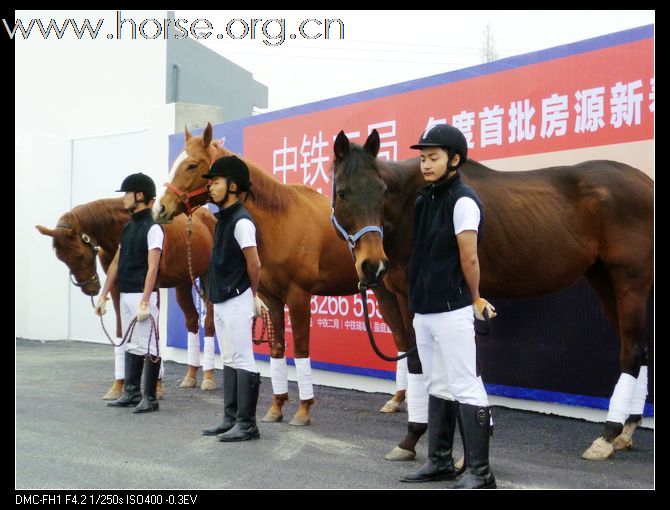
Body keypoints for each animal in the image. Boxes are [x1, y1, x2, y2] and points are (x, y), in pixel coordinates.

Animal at [36, 197, 218, 396]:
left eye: (79, 255)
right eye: (62, 259)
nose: (91, 289)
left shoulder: (153, 286)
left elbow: (154, 332)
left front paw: (157, 386)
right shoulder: (116, 288)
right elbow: (120, 331)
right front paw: (118, 385)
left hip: (207, 278)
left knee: (209, 322)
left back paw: (208, 377)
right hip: (183, 283)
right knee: (192, 320)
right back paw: (191, 375)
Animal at [152, 122, 428, 458]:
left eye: (192, 165)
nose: (160, 208)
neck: (280, 220)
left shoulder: (299, 296)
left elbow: (302, 351)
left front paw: (303, 410)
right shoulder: (271, 299)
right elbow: (277, 351)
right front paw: (276, 407)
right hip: (384, 291)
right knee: (402, 342)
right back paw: (397, 400)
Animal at [332, 128, 656, 462]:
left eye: (382, 192)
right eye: (342, 193)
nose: (373, 265)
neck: (419, 201)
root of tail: (644, 181)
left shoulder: (414, 298)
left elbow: (423, 363)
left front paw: (414, 436)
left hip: (629, 280)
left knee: (632, 352)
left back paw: (607, 435)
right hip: (604, 279)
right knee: (640, 348)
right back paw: (626, 431)